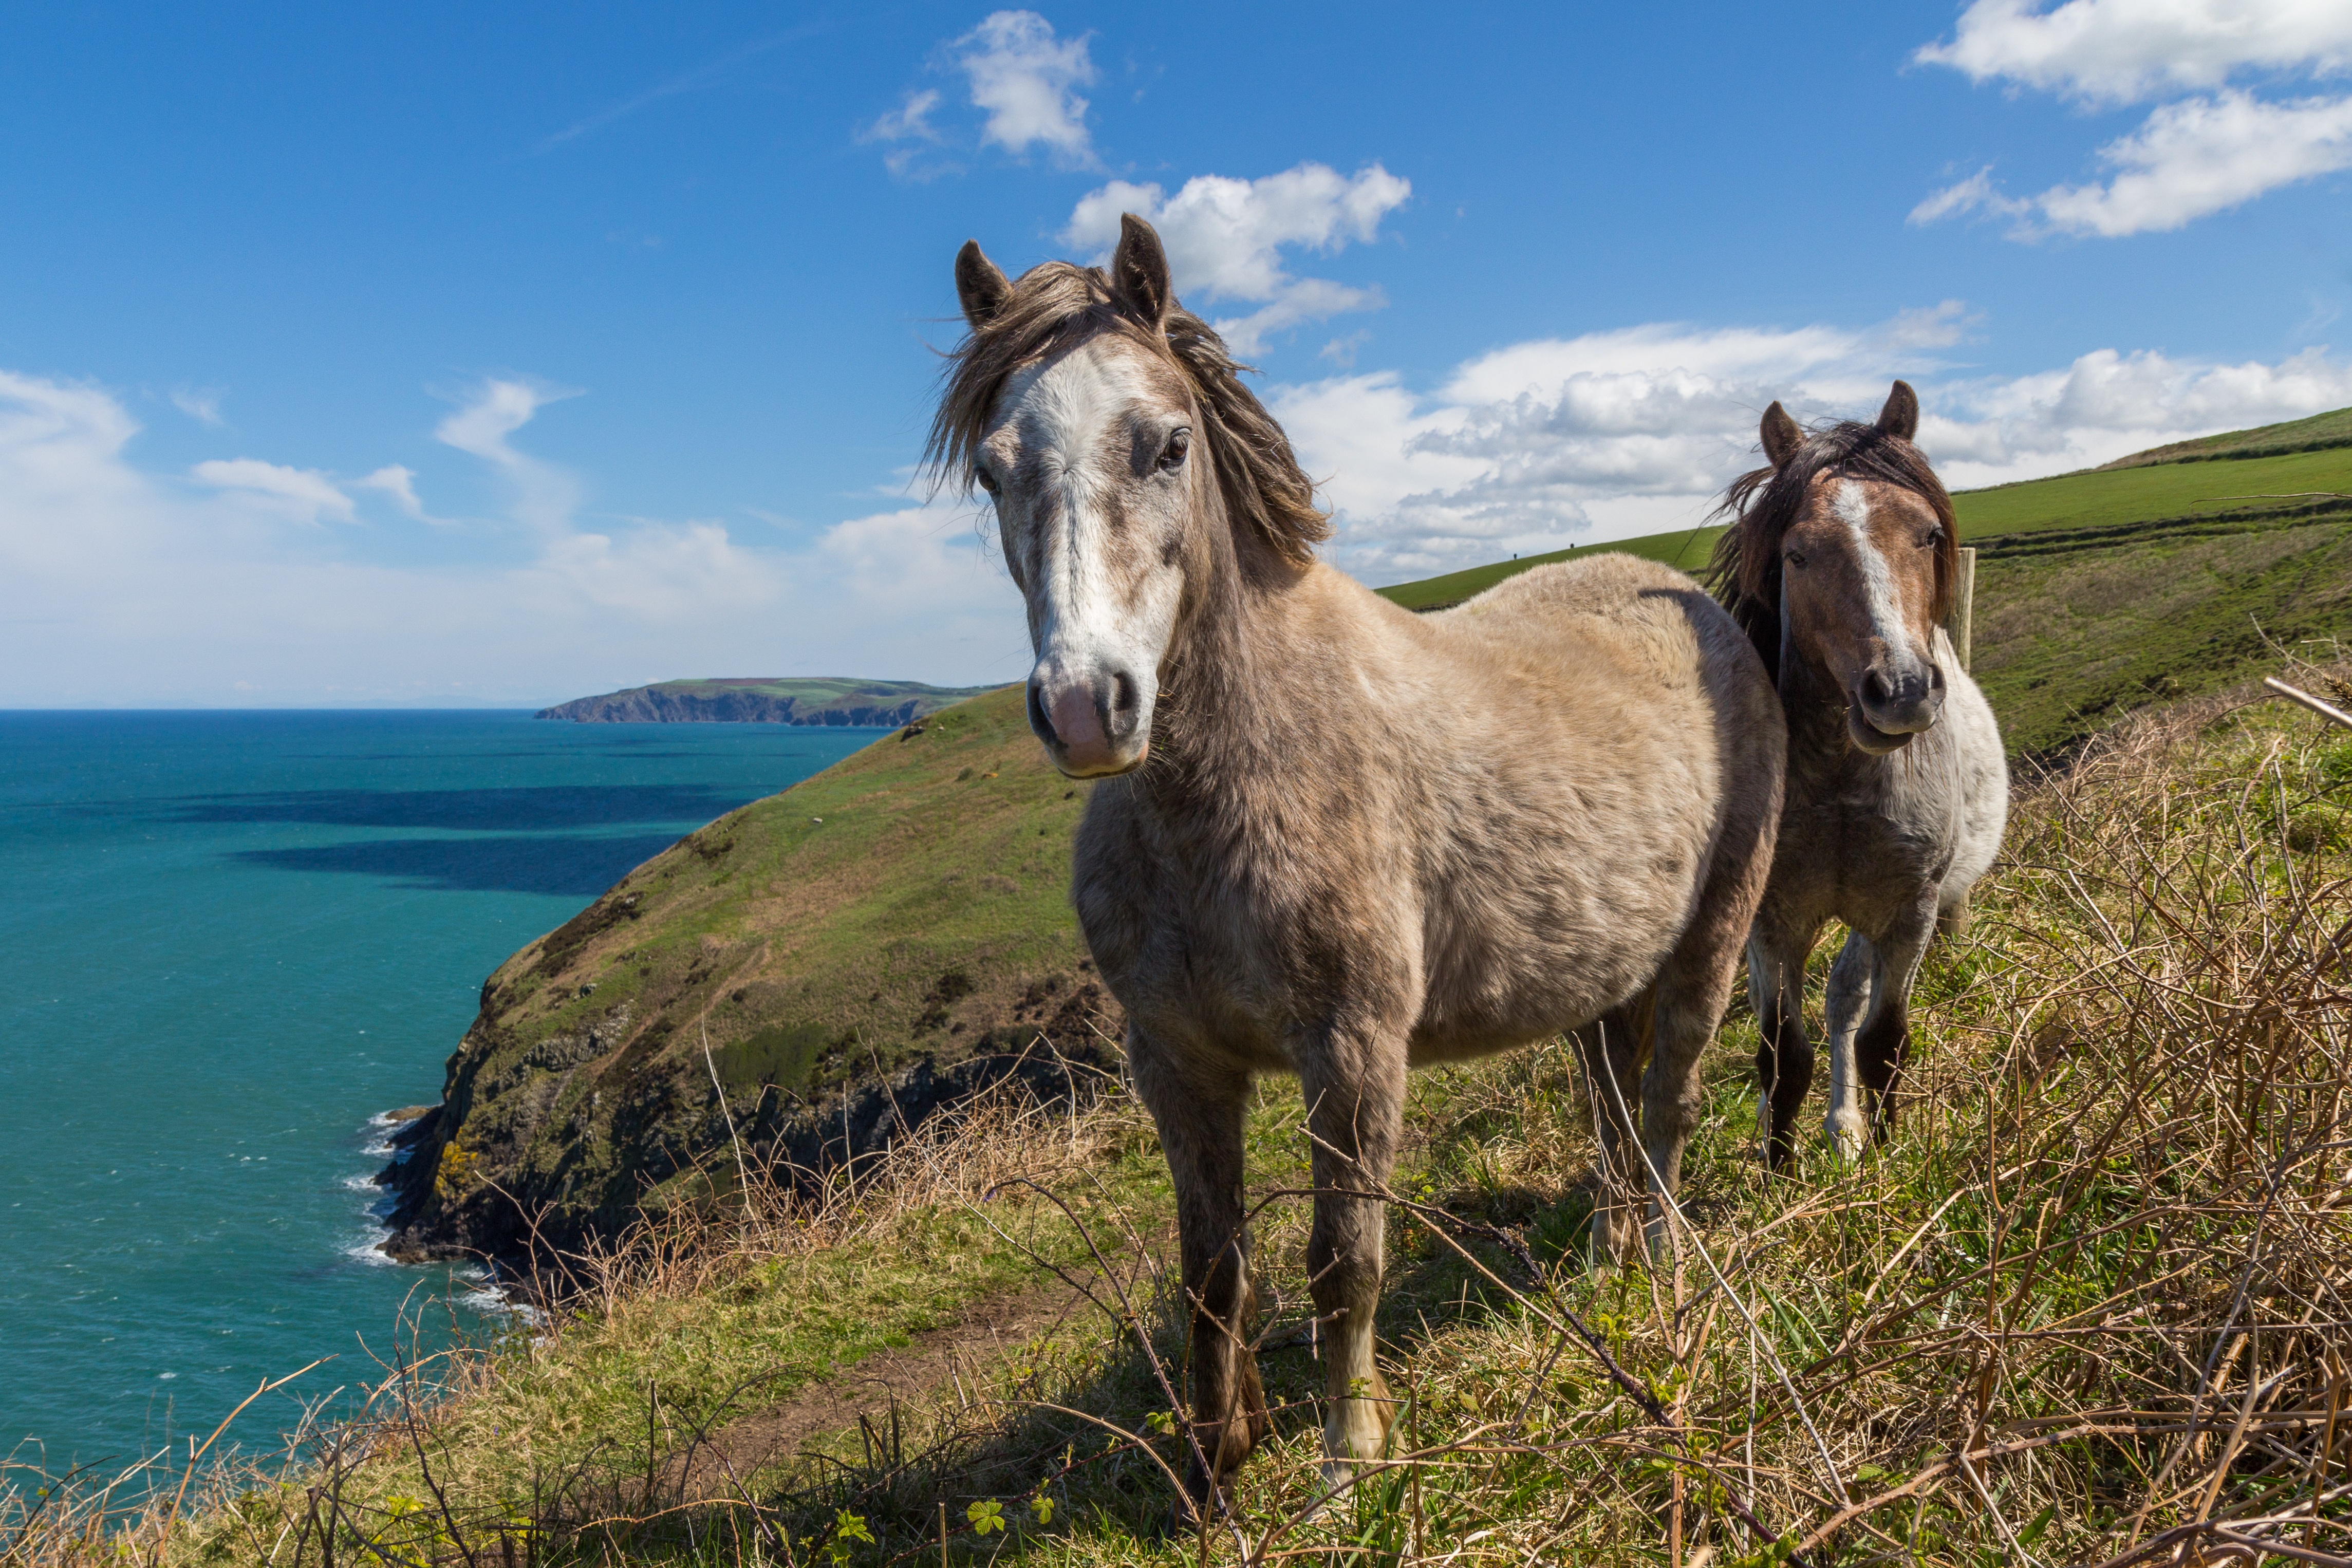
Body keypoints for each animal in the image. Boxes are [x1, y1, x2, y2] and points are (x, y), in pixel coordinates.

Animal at [936, 217, 1778, 1504]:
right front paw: (1216, 1461)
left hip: (1712, 940)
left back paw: (1667, 1269)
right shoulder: (1177, 1063)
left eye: (1164, 443)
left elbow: (1345, 1259)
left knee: (1670, 1104)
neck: (1220, 795)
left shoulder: (1352, 1047)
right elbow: (1211, 1269)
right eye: (995, 468)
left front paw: (1349, 1460)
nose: (1086, 707)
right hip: (1597, 982)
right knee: (1614, 1108)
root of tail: (1694, 601)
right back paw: (1608, 1257)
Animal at [1703, 387, 2013, 1170]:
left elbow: (1881, 1041)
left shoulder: (1909, 914)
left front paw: (1893, 1159)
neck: (1843, 785)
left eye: (1928, 534)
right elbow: (1782, 1056)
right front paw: (1776, 1172)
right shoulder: (1776, 922)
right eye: (1797, 554)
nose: (1899, 692)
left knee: (1845, 997)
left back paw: (1845, 1128)